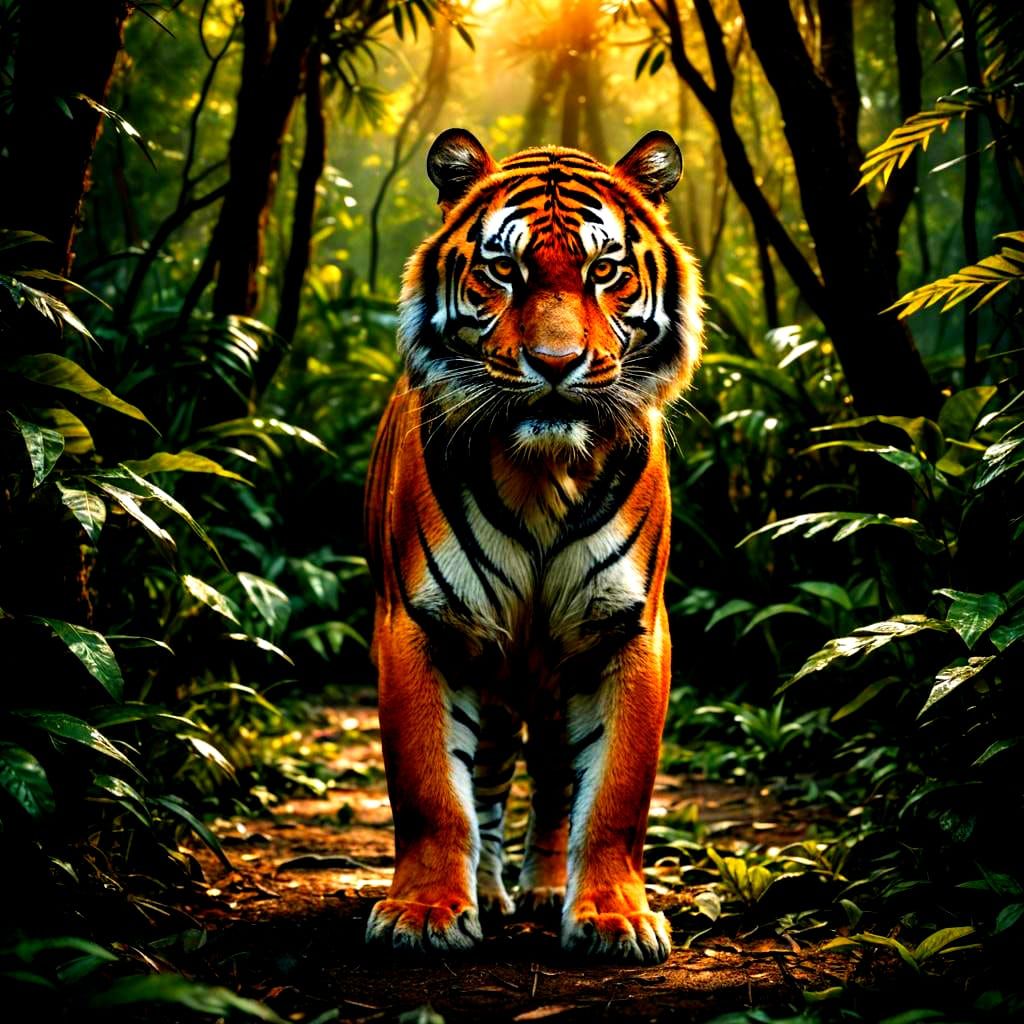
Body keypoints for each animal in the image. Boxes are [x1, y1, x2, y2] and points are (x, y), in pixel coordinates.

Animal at [363, 127, 703, 964]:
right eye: (502, 270)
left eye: (604, 272)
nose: (555, 365)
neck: (542, 472)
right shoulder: (423, 626)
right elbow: (430, 789)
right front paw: (425, 912)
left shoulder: (627, 628)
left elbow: (614, 793)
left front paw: (614, 916)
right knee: (486, 781)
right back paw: (486, 890)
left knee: (552, 783)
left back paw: (548, 888)